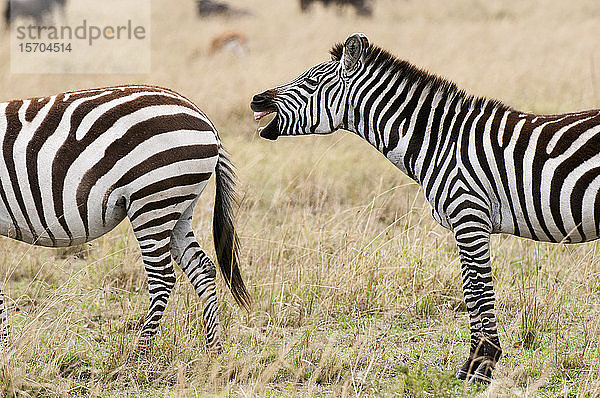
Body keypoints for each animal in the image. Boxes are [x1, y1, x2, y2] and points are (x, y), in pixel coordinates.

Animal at [0, 85, 251, 352]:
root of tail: (205, 119)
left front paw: (3, 347)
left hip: (153, 201)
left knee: (163, 278)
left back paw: (139, 354)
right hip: (179, 207)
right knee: (202, 268)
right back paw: (214, 350)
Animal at [251, 33, 600, 382]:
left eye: (310, 81)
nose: (256, 100)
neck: (442, 142)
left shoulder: (469, 216)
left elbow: (476, 291)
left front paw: (481, 366)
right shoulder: (467, 222)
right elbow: (473, 291)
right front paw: (476, 363)